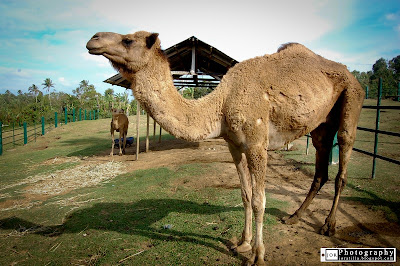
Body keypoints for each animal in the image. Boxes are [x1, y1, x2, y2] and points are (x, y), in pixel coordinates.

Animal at [86, 30, 366, 264]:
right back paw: (294, 217)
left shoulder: (257, 144)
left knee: (342, 163)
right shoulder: (234, 145)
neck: (221, 104)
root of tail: (352, 75)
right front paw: (243, 243)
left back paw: (329, 225)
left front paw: (257, 255)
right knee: (320, 168)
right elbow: (245, 194)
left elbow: (259, 199)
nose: (93, 39)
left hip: (352, 100)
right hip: (321, 124)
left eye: (128, 40)